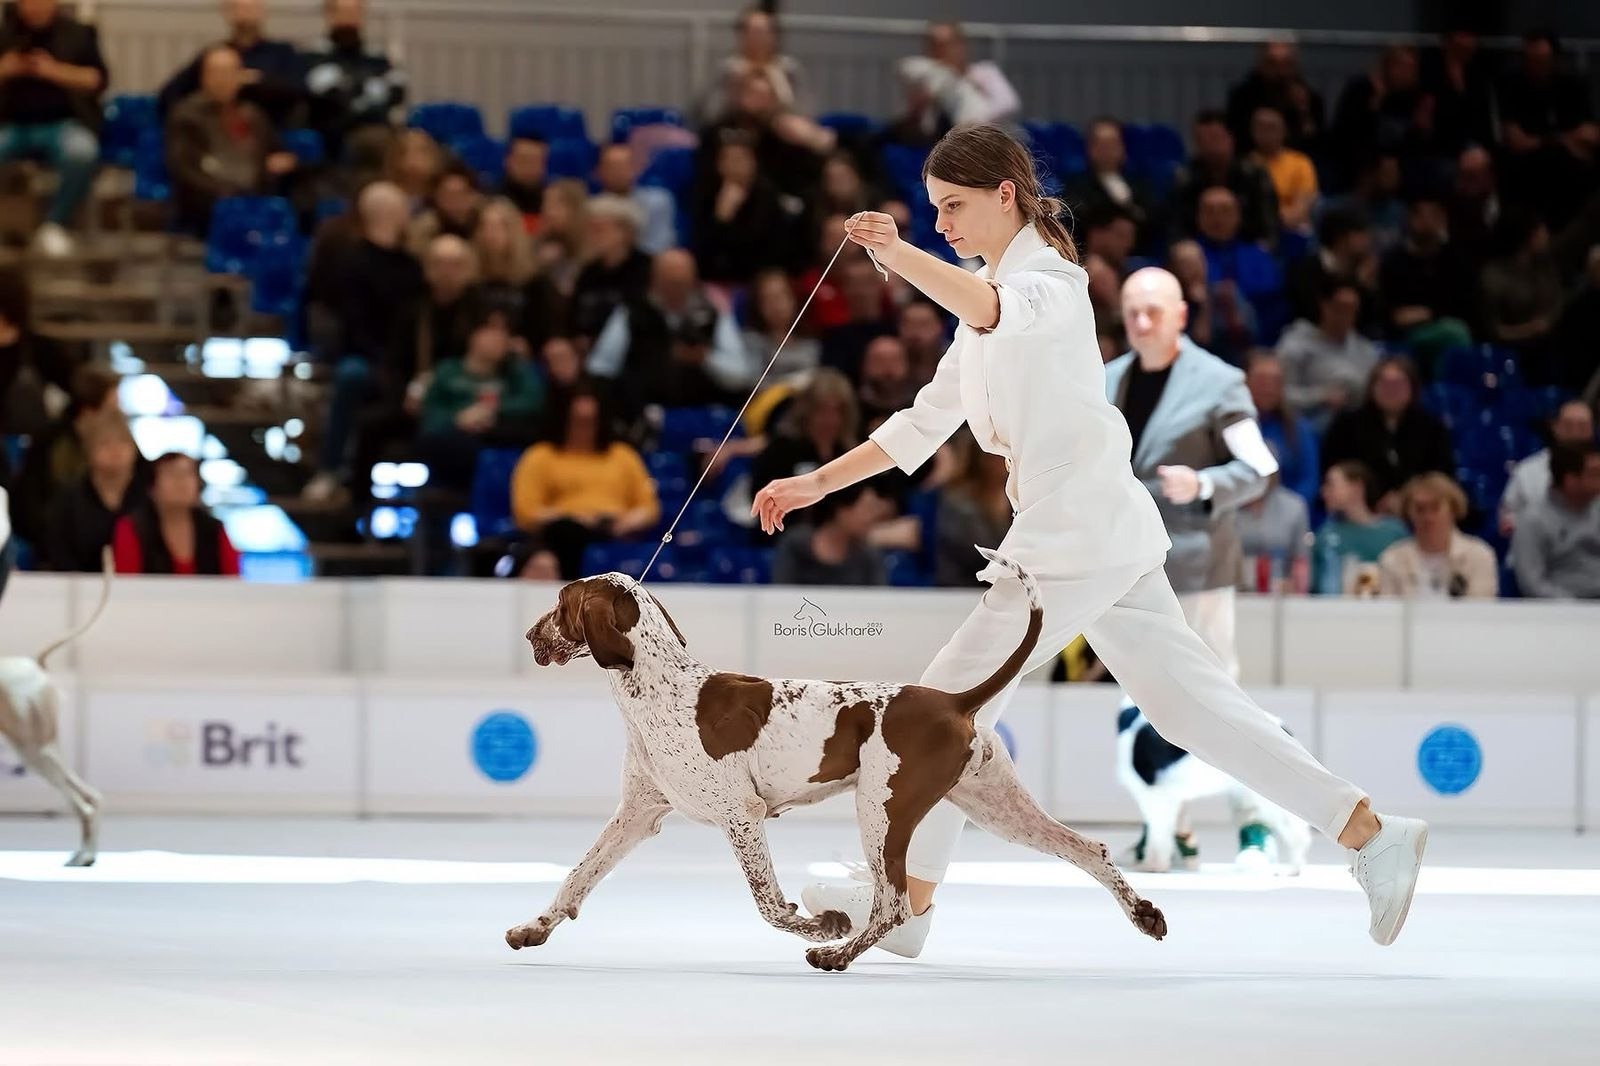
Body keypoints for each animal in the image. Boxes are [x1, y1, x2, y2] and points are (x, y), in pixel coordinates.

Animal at [0, 548, 111, 867]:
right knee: (91, 798)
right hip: (39, 749)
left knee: (85, 803)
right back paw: (84, 855)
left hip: (34, 748)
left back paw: (84, 856)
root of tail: (34, 662)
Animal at [510, 548, 1167, 971]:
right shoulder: (636, 817)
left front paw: (822, 924)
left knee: (893, 904)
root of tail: (955, 700)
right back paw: (1145, 913)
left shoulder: (741, 815)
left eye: (560, 605)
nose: (528, 636)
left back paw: (837, 953)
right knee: (1089, 849)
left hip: (882, 810)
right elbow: (575, 878)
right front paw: (534, 927)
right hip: (996, 809)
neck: (661, 686)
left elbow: (770, 906)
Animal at [1115, 705, 1310, 875]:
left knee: (1297, 835)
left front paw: (1154, 866)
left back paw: (1291, 870)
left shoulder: (1155, 795)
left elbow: (1158, 836)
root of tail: (1283, 728)